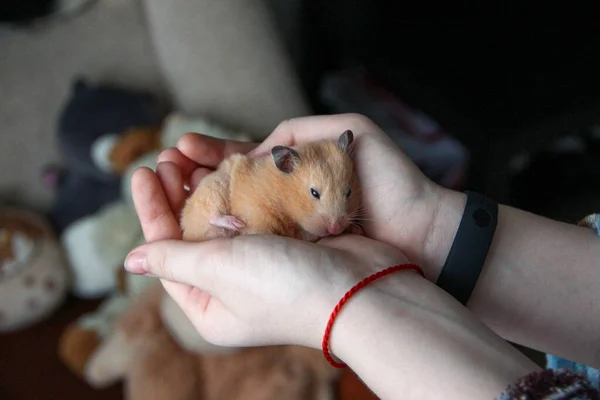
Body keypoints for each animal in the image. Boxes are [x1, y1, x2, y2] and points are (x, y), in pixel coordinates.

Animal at [179, 130, 360, 244]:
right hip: (214, 187)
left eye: (349, 192)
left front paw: (355, 229)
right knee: (211, 215)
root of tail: (188, 232)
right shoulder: (256, 211)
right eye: (314, 193)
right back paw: (234, 223)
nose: (335, 228)